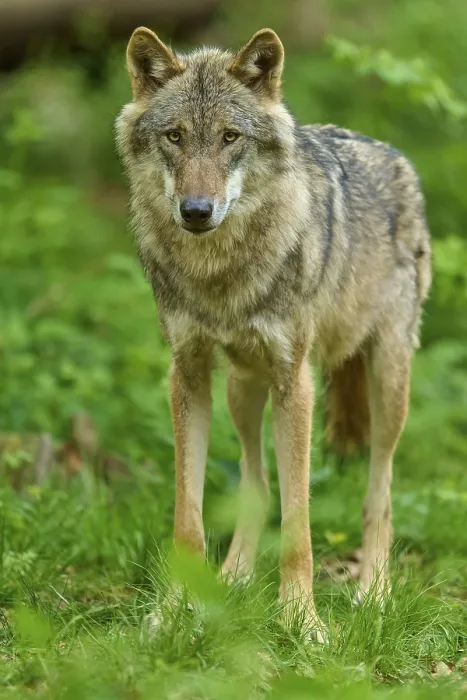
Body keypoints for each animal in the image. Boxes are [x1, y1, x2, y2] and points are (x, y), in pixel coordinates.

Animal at [116, 26, 431, 633]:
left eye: (230, 137)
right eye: (174, 136)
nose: (196, 210)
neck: (220, 273)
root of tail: (398, 158)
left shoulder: (296, 382)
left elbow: (299, 525)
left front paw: (302, 624)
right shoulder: (187, 374)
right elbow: (188, 517)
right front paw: (173, 611)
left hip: (388, 384)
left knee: (379, 494)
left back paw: (373, 593)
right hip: (241, 389)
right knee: (257, 486)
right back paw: (233, 580)